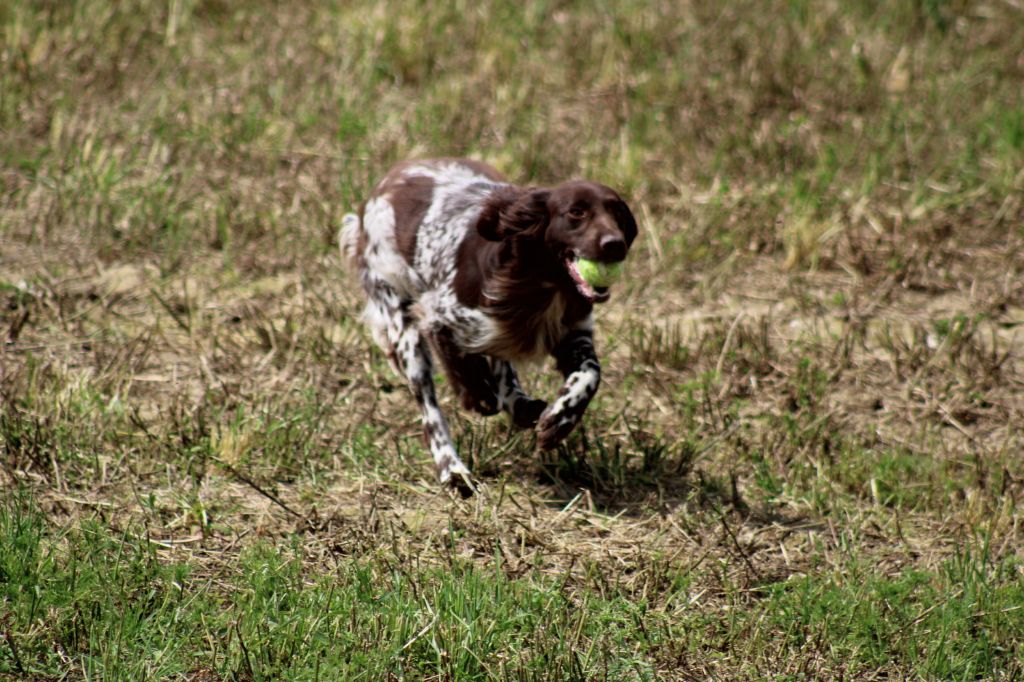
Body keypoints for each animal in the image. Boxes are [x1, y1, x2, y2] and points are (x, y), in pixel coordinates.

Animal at [339, 157, 634, 489]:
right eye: (576, 212)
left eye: (618, 213)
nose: (615, 244)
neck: (542, 283)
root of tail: (387, 182)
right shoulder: (439, 315)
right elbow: (462, 364)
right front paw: (478, 395)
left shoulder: (573, 333)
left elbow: (590, 374)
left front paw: (560, 420)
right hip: (403, 328)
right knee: (430, 409)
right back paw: (453, 469)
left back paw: (520, 404)